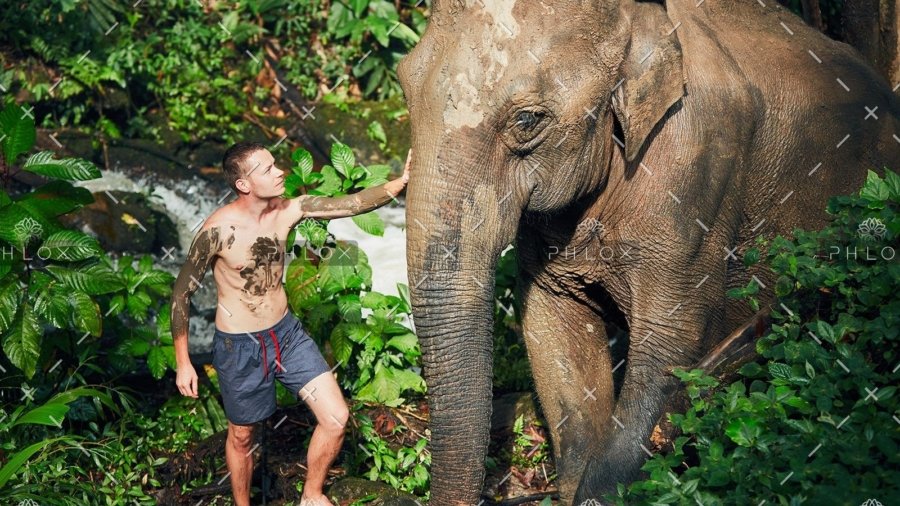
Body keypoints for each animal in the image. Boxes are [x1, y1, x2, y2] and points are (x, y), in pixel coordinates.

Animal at [398, 0, 899, 503]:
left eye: (527, 121)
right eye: (404, 84)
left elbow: (669, 342)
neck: (636, 20)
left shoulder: (698, 168)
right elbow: (550, 324)